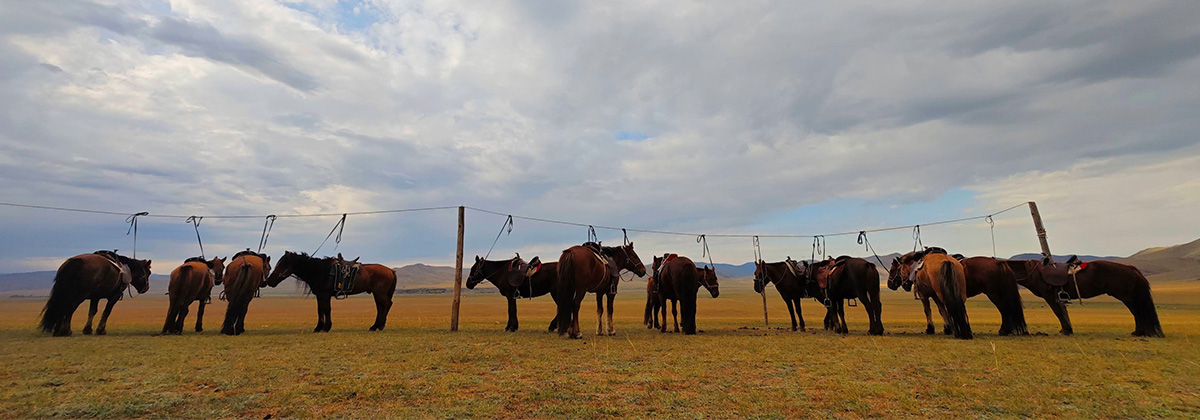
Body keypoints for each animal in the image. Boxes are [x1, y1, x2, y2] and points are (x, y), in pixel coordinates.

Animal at [265, 251, 398, 332]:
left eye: (281, 265)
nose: (269, 281)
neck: (319, 270)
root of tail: (391, 270)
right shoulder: (320, 295)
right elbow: (320, 310)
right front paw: (319, 327)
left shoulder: (325, 294)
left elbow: (326, 309)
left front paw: (326, 327)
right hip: (377, 294)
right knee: (380, 307)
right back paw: (375, 326)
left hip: (379, 293)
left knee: (387, 304)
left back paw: (379, 325)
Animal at [1004, 259, 1163, 337]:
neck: (1034, 272)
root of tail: (1132, 269)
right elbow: (1061, 312)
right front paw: (1066, 329)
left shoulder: (1049, 296)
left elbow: (1058, 312)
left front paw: (1066, 330)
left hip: (1127, 297)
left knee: (1138, 312)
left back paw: (1139, 332)